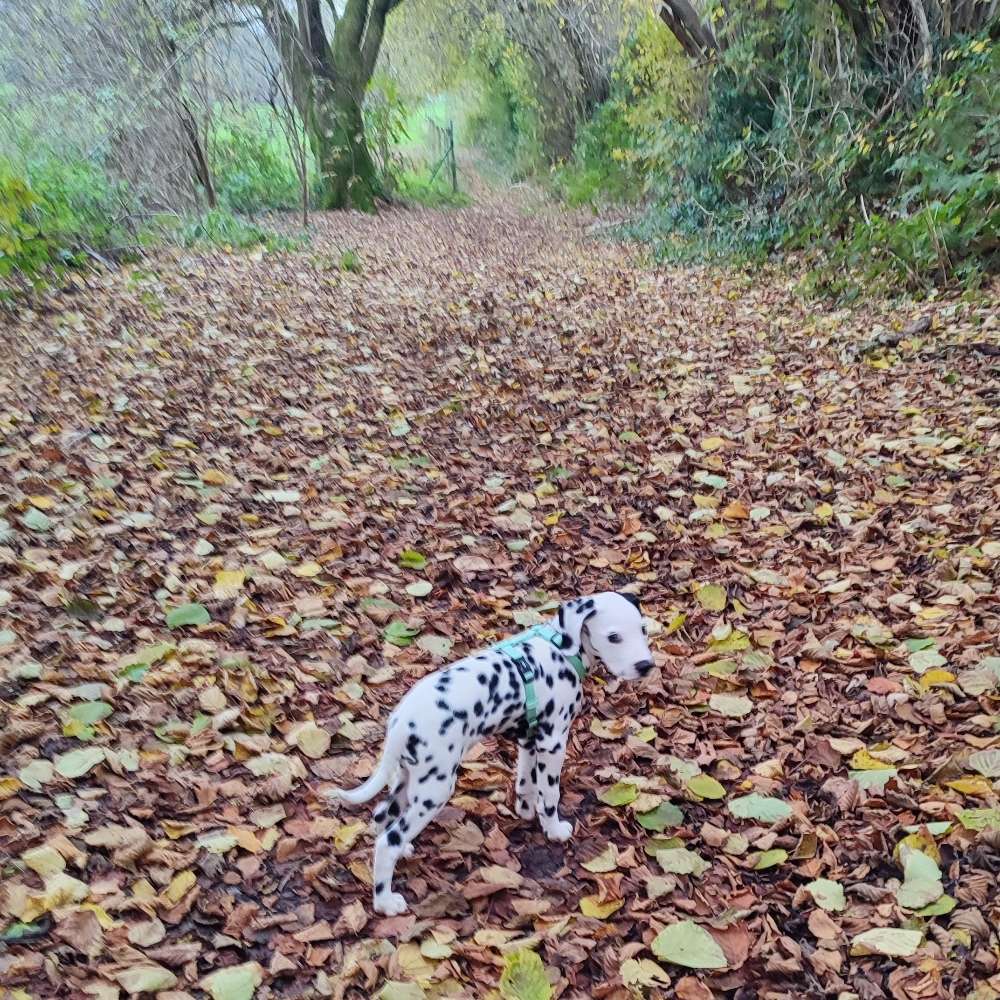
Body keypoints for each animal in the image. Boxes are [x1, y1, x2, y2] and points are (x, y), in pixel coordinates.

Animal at [328, 592, 656, 916]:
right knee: (388, 842)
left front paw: (525, 812)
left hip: (408, 778)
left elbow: (526, 782)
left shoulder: (529, 739)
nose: (646, 666)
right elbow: (549, 794)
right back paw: (385, 902)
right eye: (613, 637)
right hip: (436, 788)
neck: (560, 649)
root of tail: (399, 721)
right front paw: (553, 829)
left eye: (642, 629)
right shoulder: (552, 742)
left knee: (383, 815)